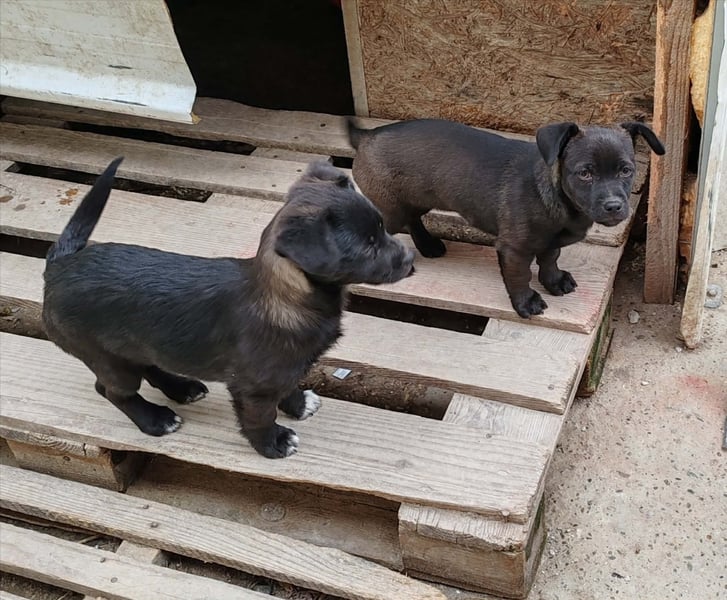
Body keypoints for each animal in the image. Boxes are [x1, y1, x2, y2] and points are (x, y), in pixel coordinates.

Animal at [42, 159, 415, 458]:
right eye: (368, 247)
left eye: (382, 228)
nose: (411, 259)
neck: (286, 297)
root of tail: (60, 266)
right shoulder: (253, 387)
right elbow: (260, 416)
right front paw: (273, 443)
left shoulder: (284, 370)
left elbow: (287, 387)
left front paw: (298, 405)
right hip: (104, 356)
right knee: (111, 390)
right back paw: (156, 420)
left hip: (134, 343)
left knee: (149, 365)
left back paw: (181, 388)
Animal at [347, 118, 665, 318]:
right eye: (585, 173)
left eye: (626, 170)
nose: (614, 206)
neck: (557, 197)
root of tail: (367, 136)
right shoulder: (514, 250)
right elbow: (519, 277)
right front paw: (526, 302)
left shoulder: (551, 242)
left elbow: (550, 259)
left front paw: (554, 281)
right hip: (391, 210)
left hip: (415, 202)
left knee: (413, 221)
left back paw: (429, 246)